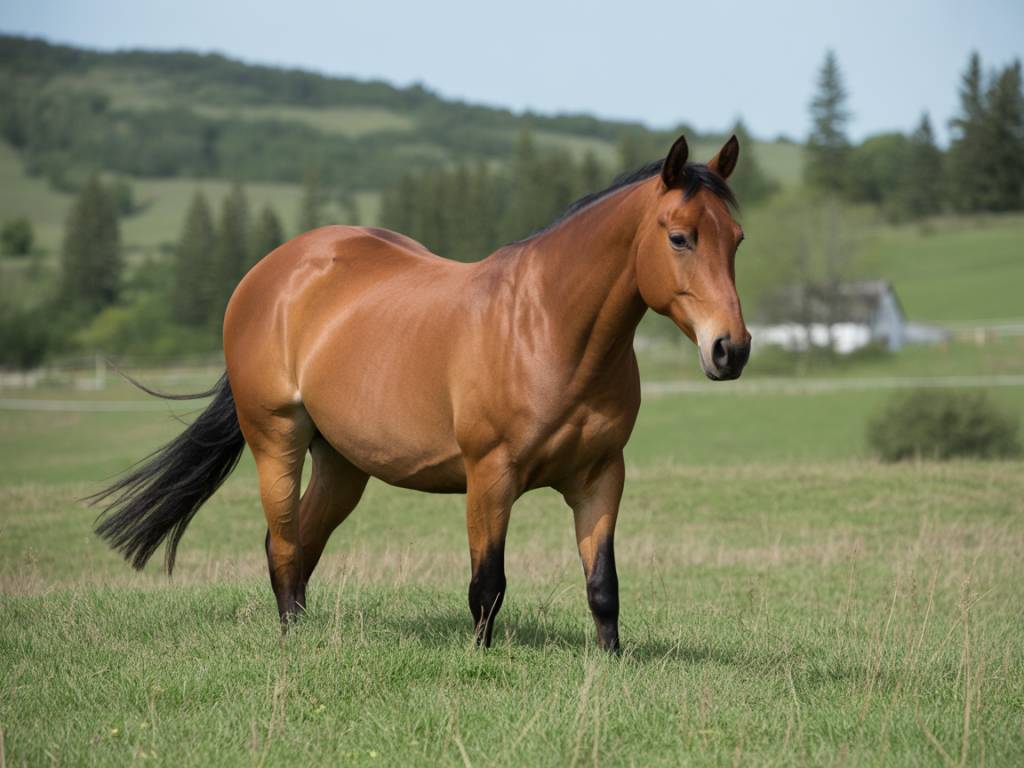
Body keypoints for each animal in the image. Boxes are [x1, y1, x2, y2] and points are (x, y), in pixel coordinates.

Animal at [92, 133, 750, 652]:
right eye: (680, 237)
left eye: (737, 240)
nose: (731, 349)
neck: (547, 328)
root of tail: (270, 273)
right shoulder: (490, 475)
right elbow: (488, 587)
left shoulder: (601, 476)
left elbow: (603, 587)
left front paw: (610, 666)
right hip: (276, 439)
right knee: (282, 544)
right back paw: (290, 647)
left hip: (342, 465)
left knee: (301, 545)